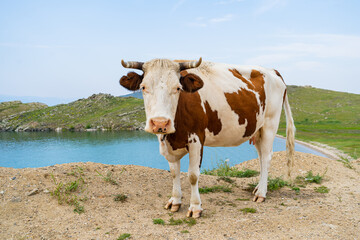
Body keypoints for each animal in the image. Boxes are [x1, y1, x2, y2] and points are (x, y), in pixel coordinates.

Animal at [119, 57, 294, 218]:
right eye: (143, 87)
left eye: (177, 88)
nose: (160, 123)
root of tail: (272, 70)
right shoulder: (168, 142)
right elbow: (174, 172)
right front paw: (175, 201)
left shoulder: (197, 139)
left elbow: (193, 175)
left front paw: (195, 207)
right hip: (257, 130)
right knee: (260, 157)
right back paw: (258, 187)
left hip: (270, 124)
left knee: (266, 157)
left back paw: (261, 193)